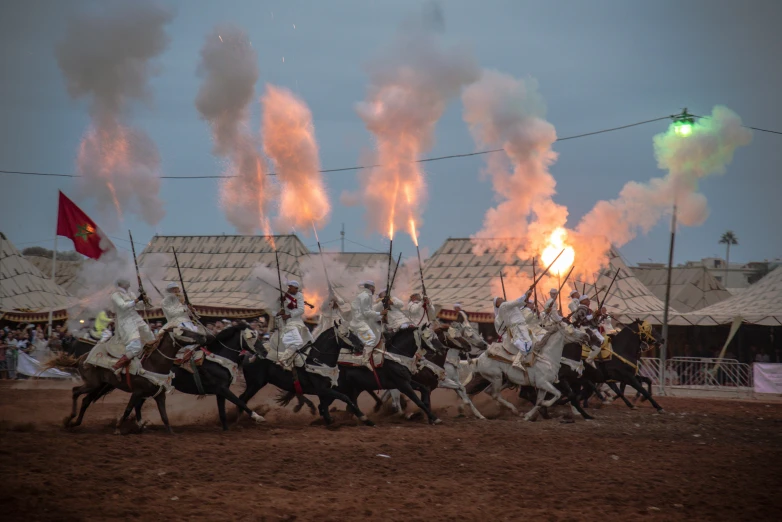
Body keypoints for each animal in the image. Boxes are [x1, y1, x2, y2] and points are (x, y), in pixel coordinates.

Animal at [45, 328, 205, 432]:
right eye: (184, 331)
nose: (203, 337)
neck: (153, 365)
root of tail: (81, 358)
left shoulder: (159, 395)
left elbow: (164, 416)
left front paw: (170, 432)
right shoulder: (137, 392)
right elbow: (128, 409)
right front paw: (118, 427)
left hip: (100, 386)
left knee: (85, 400)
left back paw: (74, 423)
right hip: (92, 384)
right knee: (75, 391)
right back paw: (69, 419)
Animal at [127, 322, 264, 428]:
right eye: (252, 337)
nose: (264, 351)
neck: (218, 360)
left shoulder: (221, 392)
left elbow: (223, 413)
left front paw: (226, 429)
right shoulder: (222, 389)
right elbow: (240, 402)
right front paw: (258, 417)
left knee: (138, 403)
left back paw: (140, 424)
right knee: (138, 403)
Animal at [237, 324, 376, 426]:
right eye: (345, 334)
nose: (361, 345)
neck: (317, 361)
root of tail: (248, 354)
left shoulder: (325, 390)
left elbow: (325, 405)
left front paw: (328, 419)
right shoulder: (323, 389)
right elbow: (345, 398)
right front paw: (365, 418)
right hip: (255, 383)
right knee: (242, 398)